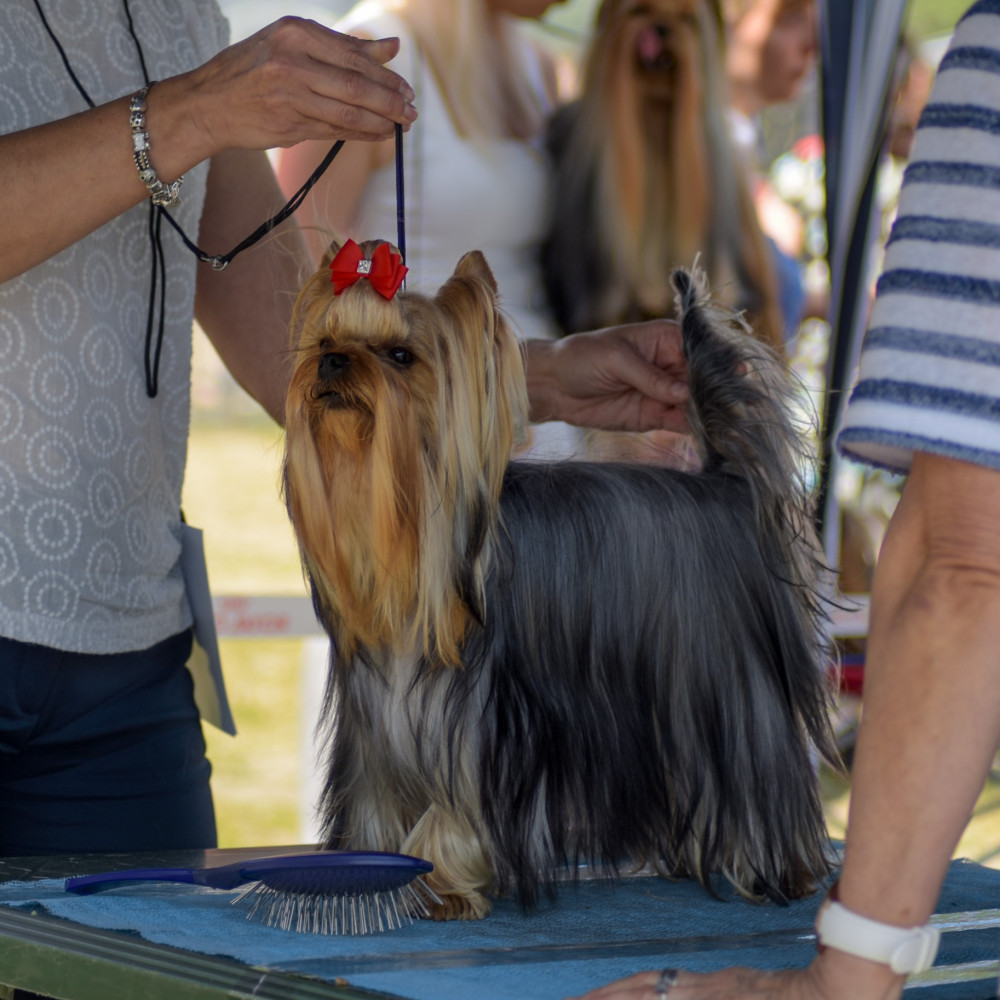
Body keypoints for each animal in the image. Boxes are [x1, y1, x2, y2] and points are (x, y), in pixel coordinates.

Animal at [282, 236, 836, 920]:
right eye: (326, 338)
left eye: (401, 356)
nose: (331, 362)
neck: (413, 548)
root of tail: (725, 481)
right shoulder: (377, 728)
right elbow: (378, 797)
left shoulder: (477, 725)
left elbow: (457, 806)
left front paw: (439, 880)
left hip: (730, 686)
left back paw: (779, 868)